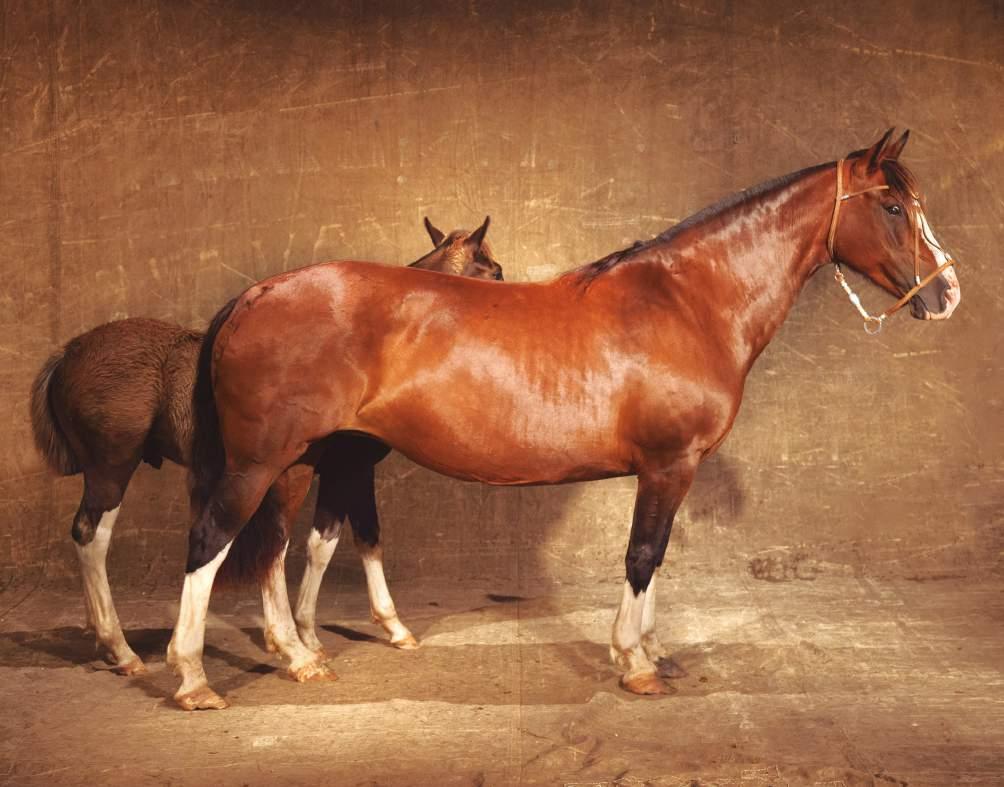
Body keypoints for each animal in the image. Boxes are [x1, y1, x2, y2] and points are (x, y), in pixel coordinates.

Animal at [28, 216, 501, 674]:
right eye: (494, 271)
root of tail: (69, 352)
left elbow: (318, 543)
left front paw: (306, 639)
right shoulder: (351, 469)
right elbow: (358, 537)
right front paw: (386, 628)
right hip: (112, 468)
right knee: (92, 536)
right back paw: (121, 649)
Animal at [170, 129, 955, 706]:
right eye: (892, 206)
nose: (945, 292)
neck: (688, 301)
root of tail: (260, 292)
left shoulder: (671, 470)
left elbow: (656, 557)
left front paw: (654, 648)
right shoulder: (668, 464)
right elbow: (642, 555)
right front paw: (634, 662)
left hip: (302, 460)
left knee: (273, 547)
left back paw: (301, 656)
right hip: (261, 462)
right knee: (213, 541)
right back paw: (195, 678)